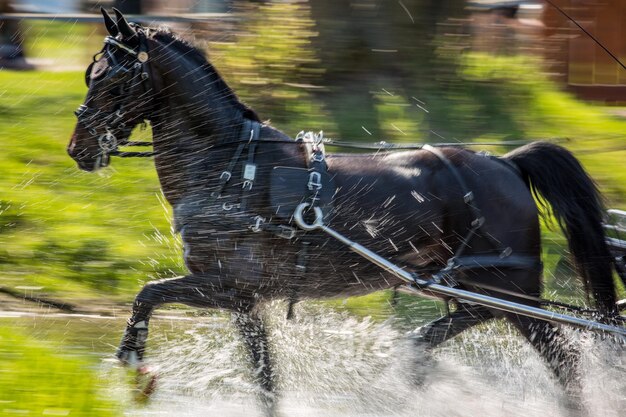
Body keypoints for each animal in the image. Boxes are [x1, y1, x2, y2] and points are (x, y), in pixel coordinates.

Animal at [67, 8, 616, 412]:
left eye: (113, 82)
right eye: (93, 74)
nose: (78, 148)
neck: (232, 166)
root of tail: (505, 162)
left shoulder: (225, 284)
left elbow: (146, 295)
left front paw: (134, 371)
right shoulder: (243, 300)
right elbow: (264, 377)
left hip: (511, 290)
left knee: (564, 360)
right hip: (475, 287)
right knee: (456, 328)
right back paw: (412, 363)